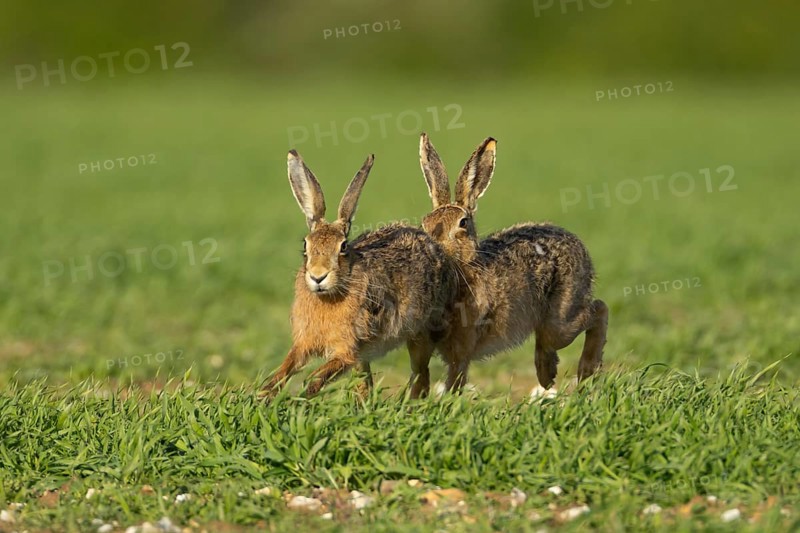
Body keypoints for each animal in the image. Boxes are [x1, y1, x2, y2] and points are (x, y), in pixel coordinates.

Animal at [260, 150, 457, 399]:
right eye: (305, 245)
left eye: (343, 247)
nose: (317, 276)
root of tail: (434, 246)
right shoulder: (305, 343)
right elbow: (286, 368)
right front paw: (264, 395)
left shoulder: (347, 350)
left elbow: (317, 376)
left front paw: (302, 395)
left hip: (420, 333)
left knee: (421, 373)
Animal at [416, 133, 608, 394]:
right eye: (424, 222)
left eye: (462, 223)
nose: (432, 248)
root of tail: (578, 243)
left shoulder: (462, 347)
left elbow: (455, 380)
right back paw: (547, 374)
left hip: (562, 316)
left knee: (598, 309)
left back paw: (585, 371)